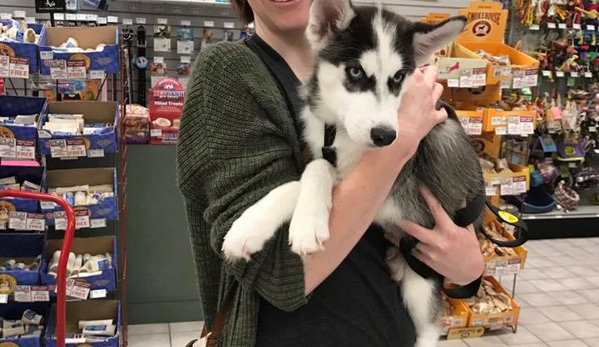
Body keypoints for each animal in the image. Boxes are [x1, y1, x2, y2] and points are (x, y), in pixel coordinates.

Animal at [223, 1, 486, 346]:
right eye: (356, 71)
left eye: (398, 77)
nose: (386, 136)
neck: (340, 130)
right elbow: (305, 173)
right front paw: (249, 226)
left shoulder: (391, 191)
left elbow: (315, 170)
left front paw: (306, 225)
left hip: (423, 277)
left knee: (429, 328)